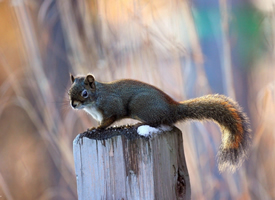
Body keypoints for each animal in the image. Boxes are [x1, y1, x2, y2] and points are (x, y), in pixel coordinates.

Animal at [69, 73, 252, 172]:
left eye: (84, 93)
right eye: (69, 91)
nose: (73, 104)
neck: (95, 100)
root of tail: (172, 108)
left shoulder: (112, 107)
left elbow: (108, 120)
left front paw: (95, 128)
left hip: (141, 106)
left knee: (157, 121)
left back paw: (137, 125)